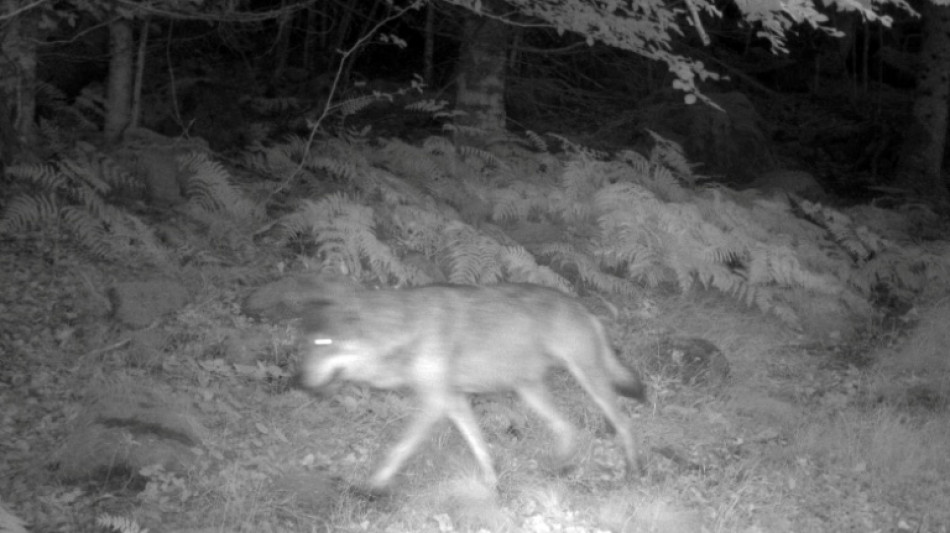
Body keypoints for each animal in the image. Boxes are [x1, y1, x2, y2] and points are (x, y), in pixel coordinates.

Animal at [295, 281, 646, 492]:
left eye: (324, 343)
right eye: (307, 343)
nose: (298, 381)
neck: (405, 329)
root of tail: (583, 307)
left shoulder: (434, 403)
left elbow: (399, 449)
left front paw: (372, 488)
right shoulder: (453, 401)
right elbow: (479, 446)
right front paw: (492, 485)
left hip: (588, 382)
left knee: (624, 424)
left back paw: (634, 471)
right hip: (529, 391)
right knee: (567, 427)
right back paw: (560, 469)